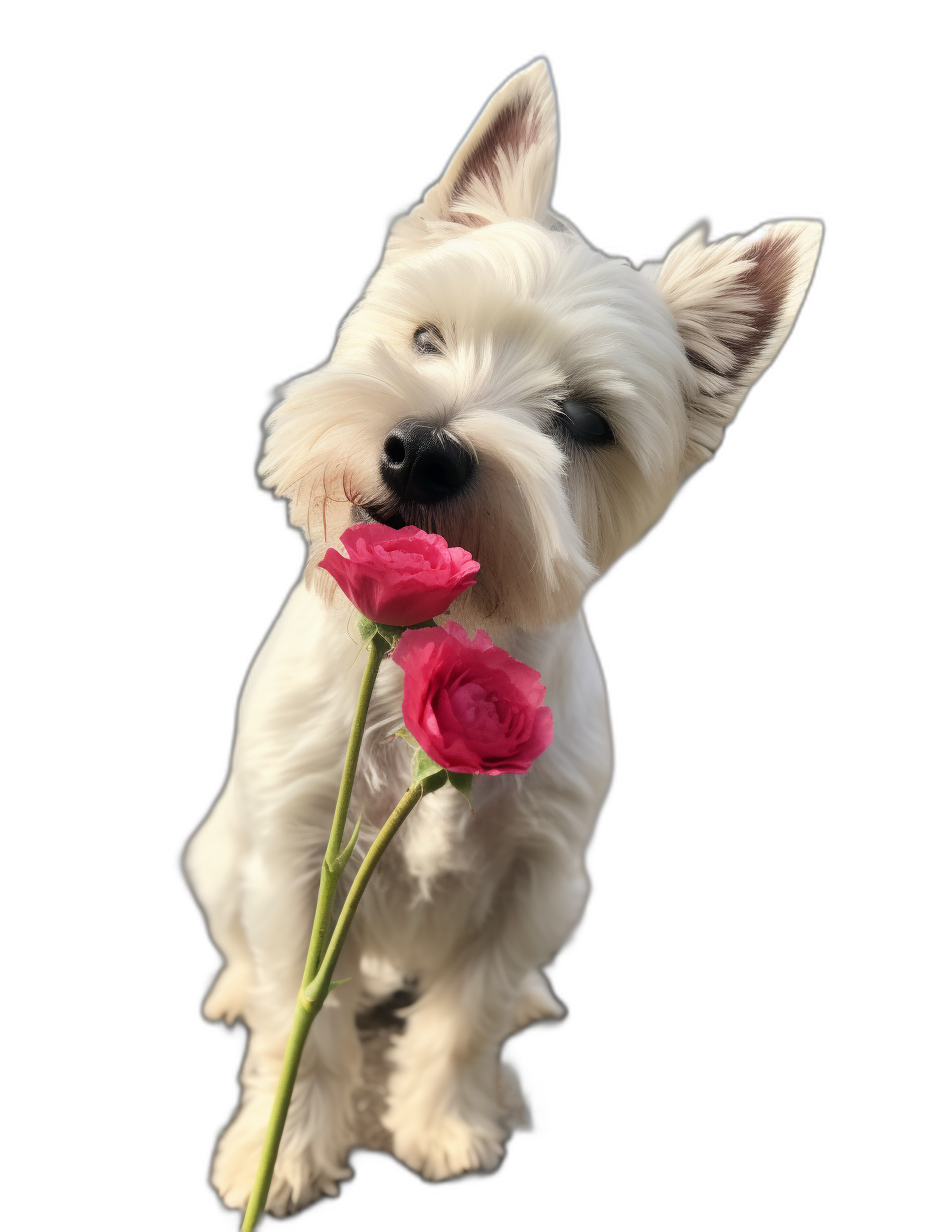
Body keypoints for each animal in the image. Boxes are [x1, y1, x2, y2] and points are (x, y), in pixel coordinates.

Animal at [181, 55, 818, 1212]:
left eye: (585, 421)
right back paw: (234, 989)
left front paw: (444, 1126)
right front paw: (278, 1155)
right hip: (217, 850)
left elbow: (463, 1016)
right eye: (428, 336)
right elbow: (306, 1021)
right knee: (244, 949)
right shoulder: (295, 857)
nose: (423, 449)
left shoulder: (534, 878)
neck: (432, 647)